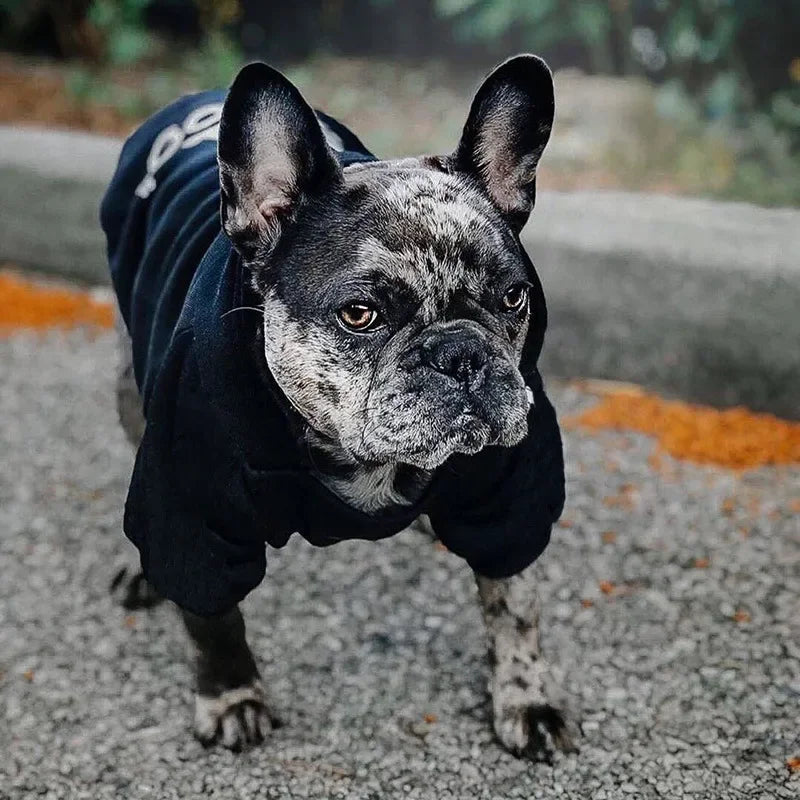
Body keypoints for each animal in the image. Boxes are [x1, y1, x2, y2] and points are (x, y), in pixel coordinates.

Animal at [101, 54, 576, 756]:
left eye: (515, 297)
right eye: (360, 314)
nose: (461, 353)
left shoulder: (507, 498)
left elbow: (515, 604)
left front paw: (526, 697)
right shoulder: (194, 513)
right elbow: (213, 617)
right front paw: (231, 695)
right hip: (130, 384)